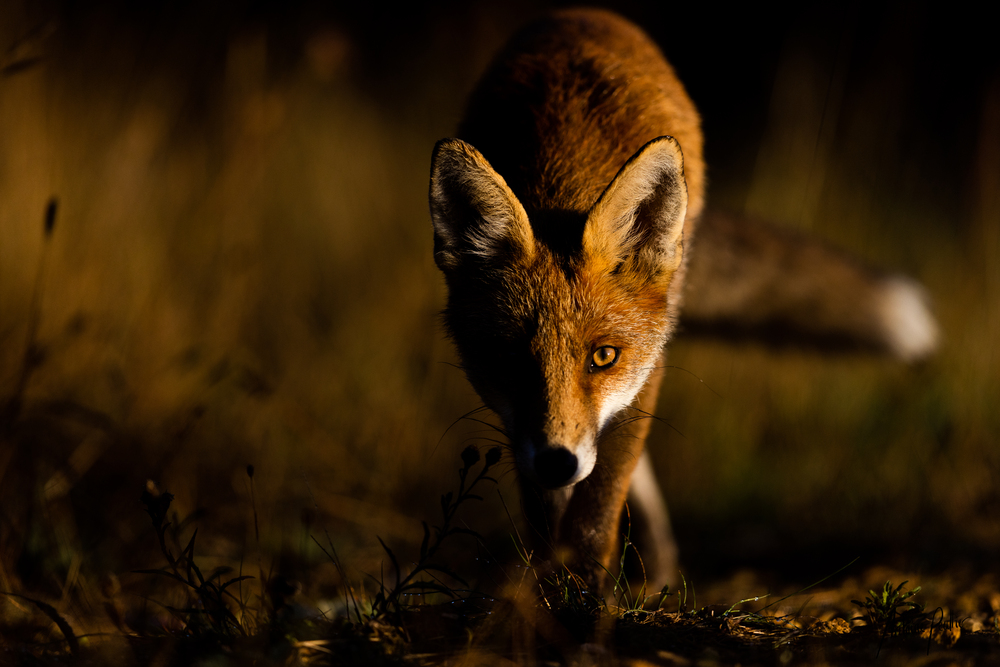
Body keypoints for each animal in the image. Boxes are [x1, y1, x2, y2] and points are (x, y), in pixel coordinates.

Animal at [429, 9, 936, 590]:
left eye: (604, 356)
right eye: (510, 356)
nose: (558, 461)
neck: (560, 177)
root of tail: (582, 13)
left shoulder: (642, 374)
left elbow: (596, 510)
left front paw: (583, 600)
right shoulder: (523, 426)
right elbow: (550, 515)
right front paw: (553, 594)